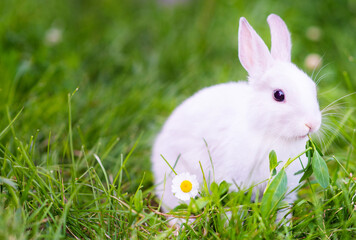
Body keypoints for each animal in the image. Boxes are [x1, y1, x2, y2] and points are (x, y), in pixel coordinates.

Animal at [151, 14, 322, 222]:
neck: (269, 133)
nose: (312, 124)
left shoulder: (285, 189)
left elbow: (283, 209)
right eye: (278, 95)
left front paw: (283, 225)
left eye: (313, 88)